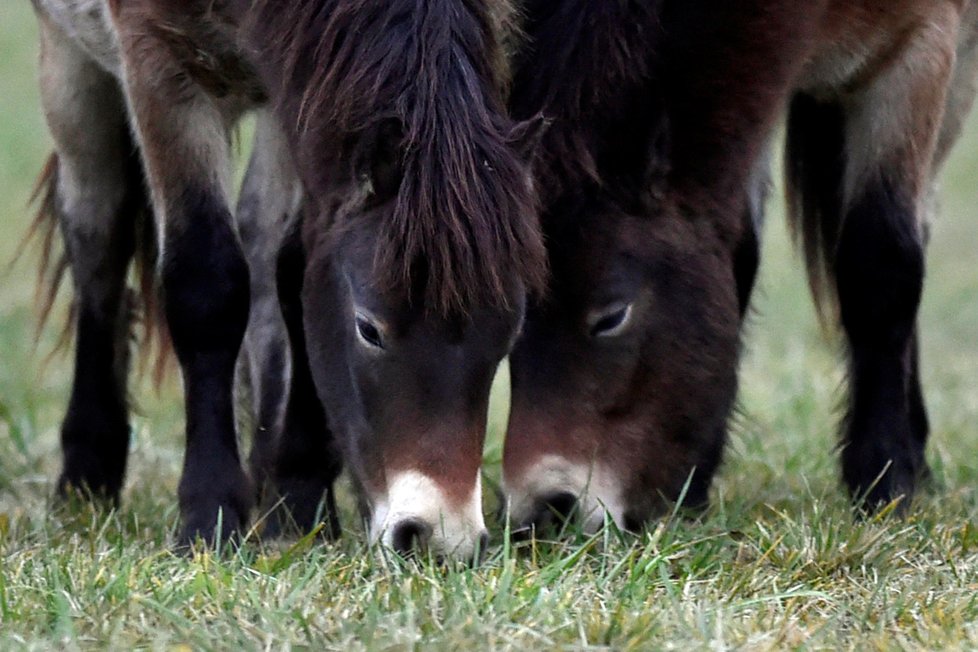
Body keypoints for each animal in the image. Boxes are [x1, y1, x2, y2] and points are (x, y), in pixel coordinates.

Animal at [30, 0, 544, 560]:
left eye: (508, 335)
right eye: (369, 329)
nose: (440, 541)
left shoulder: (300, 92)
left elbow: (294, 271)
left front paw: (301, 503)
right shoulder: (159, 67)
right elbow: (204, 283)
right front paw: (209, 517)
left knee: (257, 240)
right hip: (69, 61)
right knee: (98, 236)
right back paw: (86, 478)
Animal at [504, 0, 976, 532]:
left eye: (611, 316)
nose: (544, 510)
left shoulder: (920, 55)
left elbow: (880, 266)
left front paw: (883, 481)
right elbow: (739, 259)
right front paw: (695, 488)